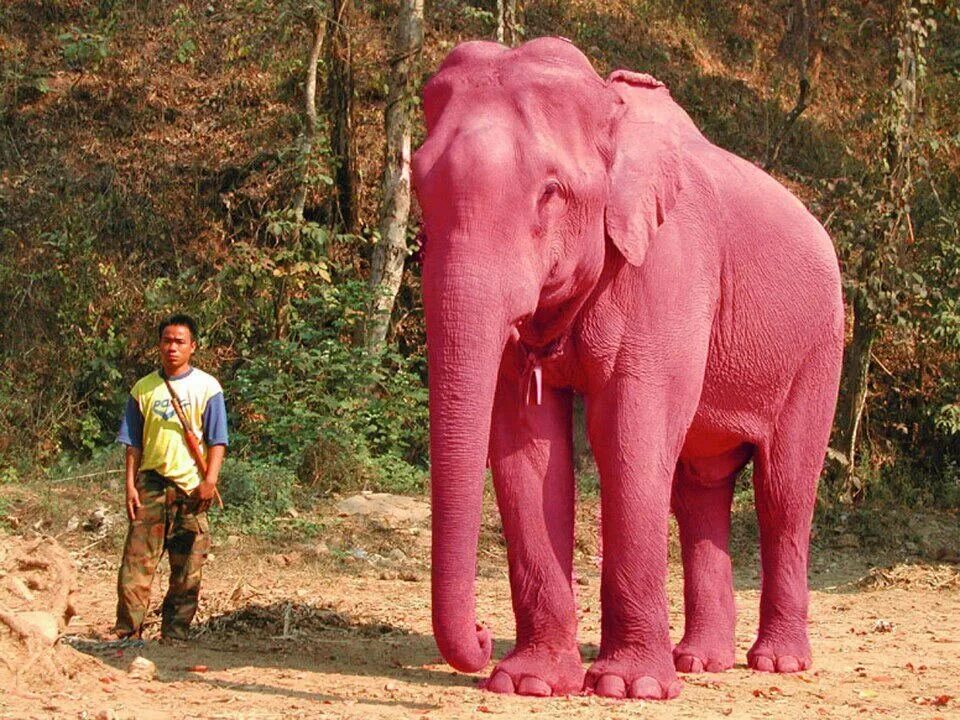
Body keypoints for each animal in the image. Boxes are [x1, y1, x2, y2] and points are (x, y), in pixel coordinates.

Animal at [410, 36, 840, 700]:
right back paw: (699, 662)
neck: (608, 110)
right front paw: (529, 684)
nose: (482, 637)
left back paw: (777, 664)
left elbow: (627, 432)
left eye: (550, 192)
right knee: (701, 488)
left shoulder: (668, 265)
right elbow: (526, 444)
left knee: (783, 490)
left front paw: (624, 687)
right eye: (418, 187)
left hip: (818, 348)